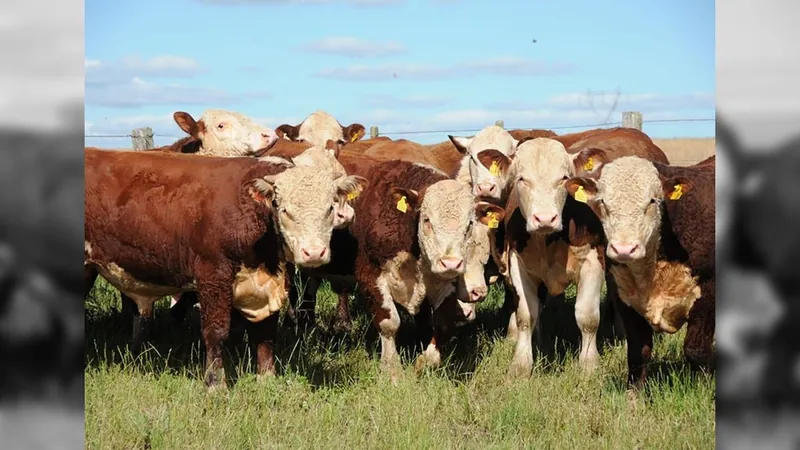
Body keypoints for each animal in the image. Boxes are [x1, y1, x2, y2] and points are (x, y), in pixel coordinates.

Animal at [84, 149, 366, 386]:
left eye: (330, 207)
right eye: (283, 208)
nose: (314, 253)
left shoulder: (268, 282)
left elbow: (265, 333)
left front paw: (267, 380)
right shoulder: (213, 275)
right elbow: (216, 332)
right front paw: (216, 384)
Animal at [354, 160, 504, 378]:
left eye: (469, 224)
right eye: (427, 220)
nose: (450, 263)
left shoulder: (444, 283)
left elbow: (443, 322)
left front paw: (425, 361)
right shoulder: (370, 275)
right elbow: (389, 323)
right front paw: (392, 370)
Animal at [564, 156, 716, 388]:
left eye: (652, 201)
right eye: (603, 202)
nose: (624, 249)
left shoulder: (708, 293)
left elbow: (696, 350)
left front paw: (703, 387)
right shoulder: (625, 298)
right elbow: (638, 353)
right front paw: (634, 396)